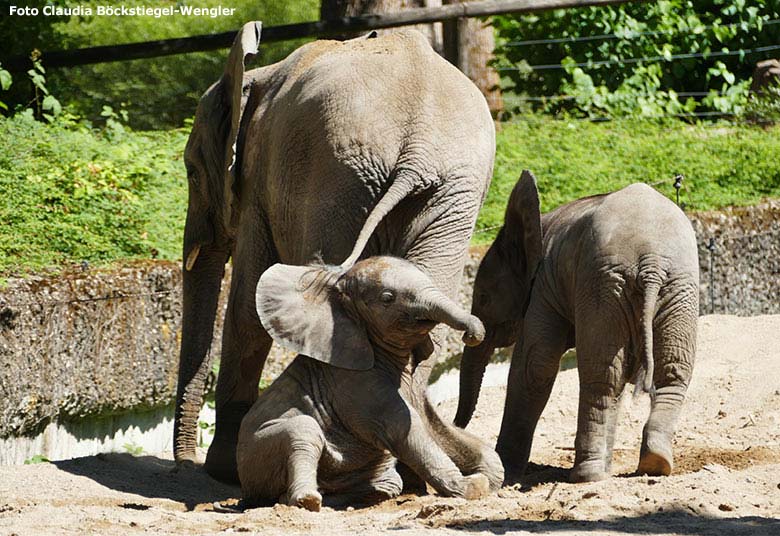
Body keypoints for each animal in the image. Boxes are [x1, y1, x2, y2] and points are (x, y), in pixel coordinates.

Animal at [175, 22, 494, 482]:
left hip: (337, 177)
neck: (256, 76)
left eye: (192, 173)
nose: (185, 464)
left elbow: (246, 308)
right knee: (424, 313)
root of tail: (417, 151)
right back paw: (407, 476)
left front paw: (225, 470)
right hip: (448, 194)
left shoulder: (258, 184)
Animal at [238, 256, 502, 510]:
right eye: (387, 298)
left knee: (388, 482)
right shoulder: (355, 383)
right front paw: (472, 486)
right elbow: (407, 431)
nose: (471, 335)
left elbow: (434, 425)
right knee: (303, 430)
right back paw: (306, 501)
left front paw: (488, 477)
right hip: (256, 456)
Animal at [454, 172, 696, 482]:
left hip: (605, 285)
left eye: (483, 297)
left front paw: (506, 471)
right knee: (669, 372)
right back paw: (655, 463)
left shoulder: (543, 287)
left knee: (602, 376)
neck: (539, 226)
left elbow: (534, 367)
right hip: (676, 287)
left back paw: (586, 476)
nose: (457, 425)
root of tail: (651, 263)